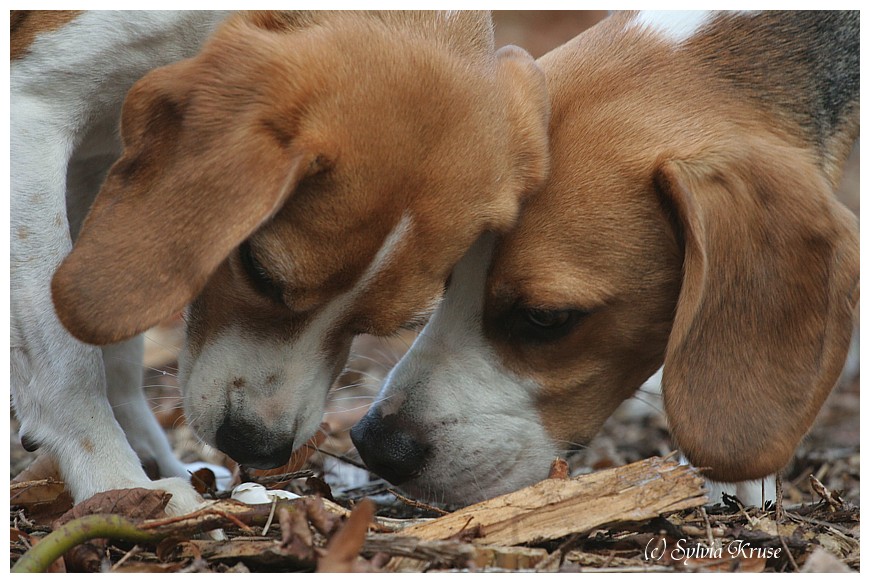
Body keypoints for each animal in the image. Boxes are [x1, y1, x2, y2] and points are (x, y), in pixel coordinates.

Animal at [10, 10, 548, 516]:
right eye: (258, 269)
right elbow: (68, 359)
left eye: (389, 326)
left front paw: (147, 459)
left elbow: (116, 342)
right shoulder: (31, 115)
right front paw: (116, 480)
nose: (256, 447)